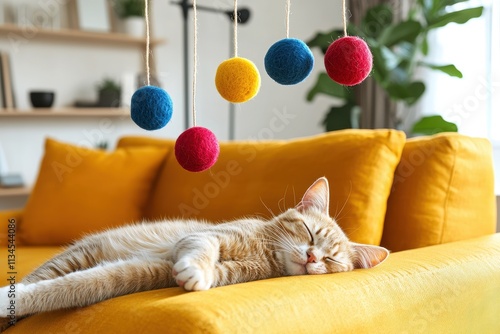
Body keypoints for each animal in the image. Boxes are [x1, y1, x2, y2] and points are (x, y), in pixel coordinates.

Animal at [0, 177, 388, 320]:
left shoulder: (140, 273)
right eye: (309, 233)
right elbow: (201, 247)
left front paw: (195, 278)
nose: (311, 257)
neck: (264, 252)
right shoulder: (208, 237)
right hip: (75, 255)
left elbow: (79, 286)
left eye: (331, 258)